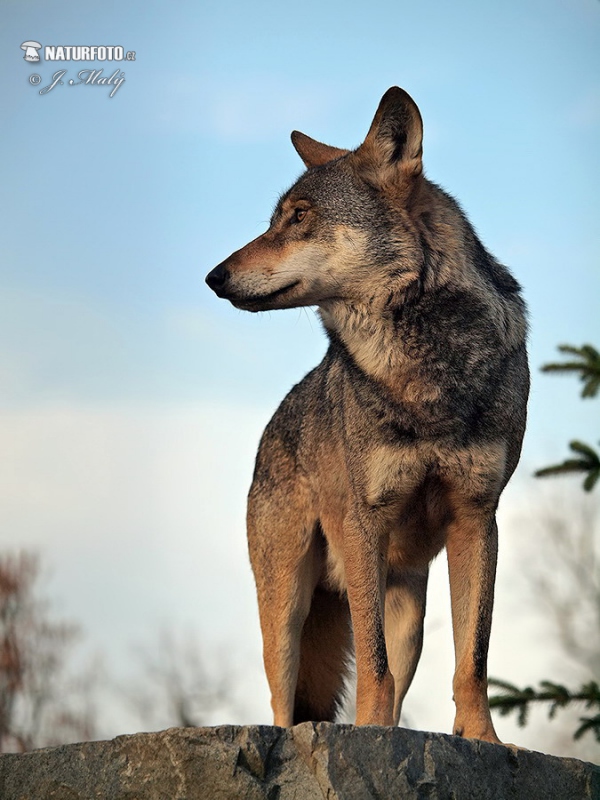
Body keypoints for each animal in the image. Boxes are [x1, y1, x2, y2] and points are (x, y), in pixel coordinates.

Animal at [206, 84, 528, 740]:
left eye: (299, 217)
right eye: (277, 218)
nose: (213, 276)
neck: (425, 373)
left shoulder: (478, 518)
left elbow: (473, 660)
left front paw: (483, 739)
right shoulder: (364, 523)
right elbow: (373, 667)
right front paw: (369, 738)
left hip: (408, 609)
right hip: (287, 609)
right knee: (283, 708)